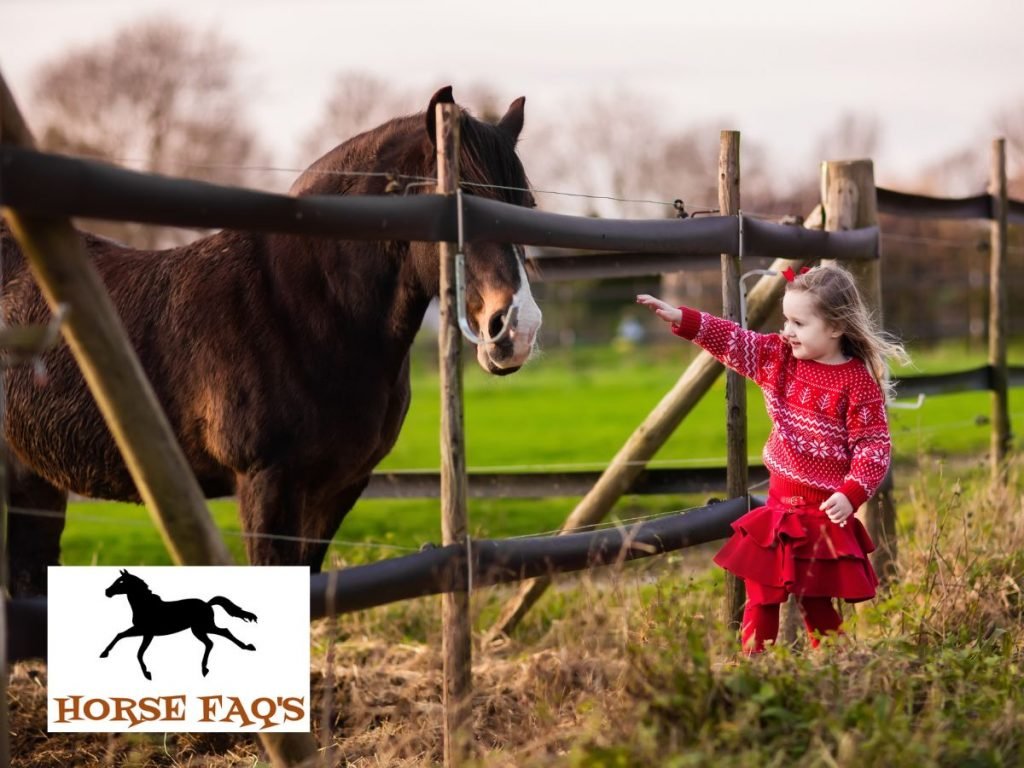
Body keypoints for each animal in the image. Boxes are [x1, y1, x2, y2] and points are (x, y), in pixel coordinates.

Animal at [2, 86, 543, 596]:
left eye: (526, 207)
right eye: (462, 200)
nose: (517, 329)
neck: (302, 309)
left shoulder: (338, 488)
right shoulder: (268, 484)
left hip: (35, 479)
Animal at [100, 569, 257, 680]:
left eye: (121, 582)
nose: (107, 592)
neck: (145, 605)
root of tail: (207, 603)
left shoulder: (147, 633)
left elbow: (138, 653)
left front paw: (147, 674)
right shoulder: (140, 630)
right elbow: (120, 635)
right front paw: (103, 653)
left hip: (203, 627)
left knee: (223, 633)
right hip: (199, 629)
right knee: (213, 640)